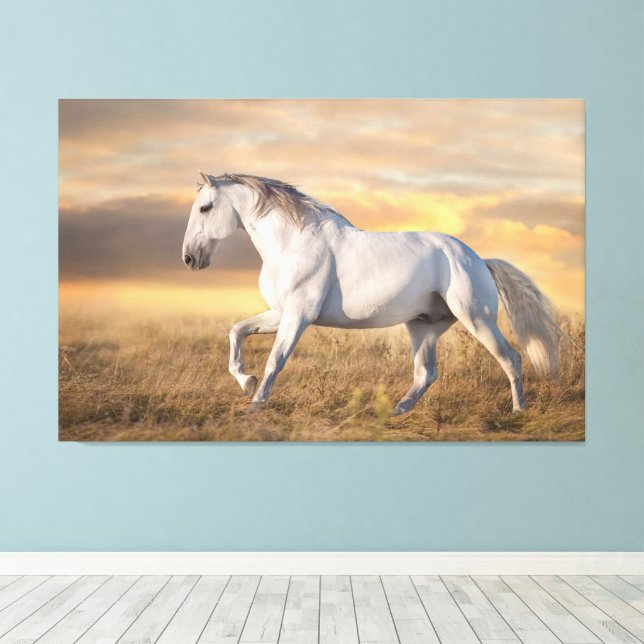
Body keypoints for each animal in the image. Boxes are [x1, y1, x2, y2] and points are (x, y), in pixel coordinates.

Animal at [182, 172, 561, 415]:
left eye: (205, 208)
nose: (189, 258)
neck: (292, 243)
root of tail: (479, 260)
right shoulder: (281, 313)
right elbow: (237, 331)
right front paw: (246, 382)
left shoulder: (298, 315)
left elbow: (276, 359)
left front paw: (255, 403)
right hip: (423, 326)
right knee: (426, 373)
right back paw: (398, 410)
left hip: (476, 318)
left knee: (510, 358)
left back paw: (518, 411)